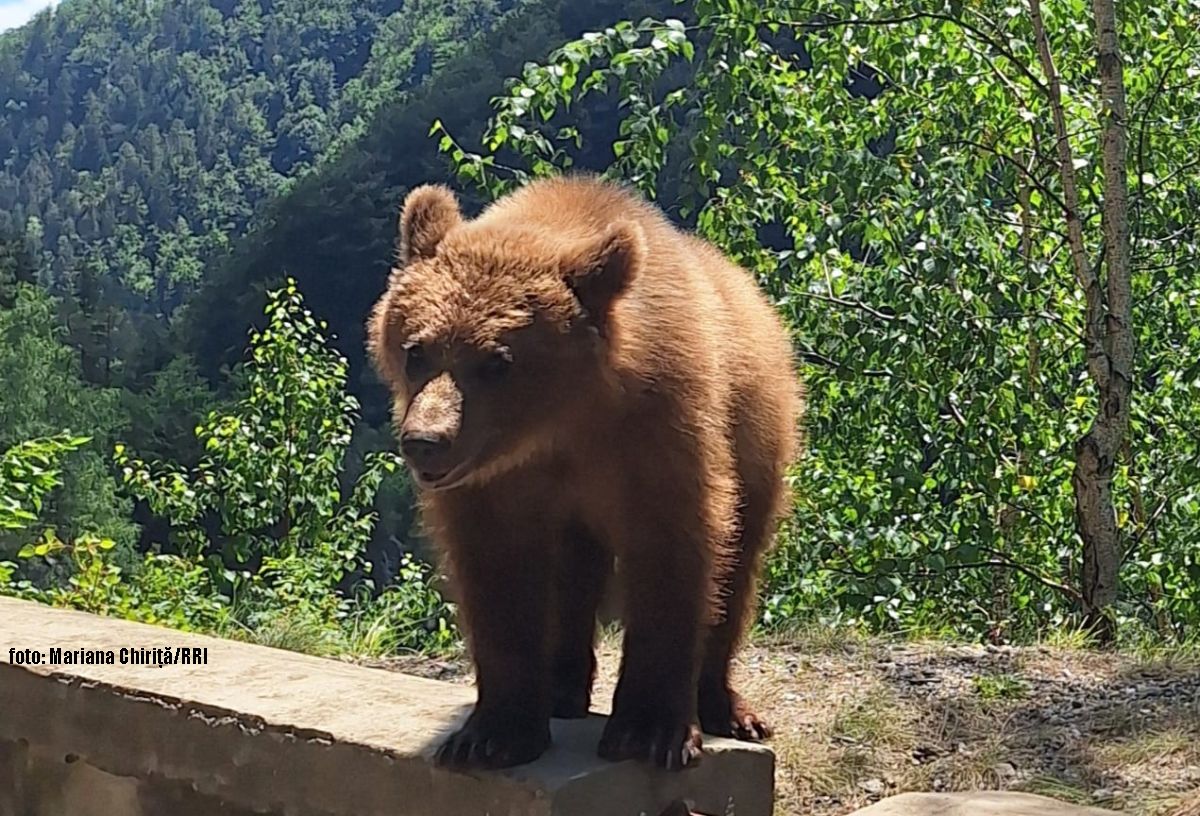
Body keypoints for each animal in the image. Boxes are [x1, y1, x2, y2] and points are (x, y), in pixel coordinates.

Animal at [369, 176, 801, 772]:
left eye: (497, 361)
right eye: (416, 350)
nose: (425, 442)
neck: (561, 424)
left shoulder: (655, 437)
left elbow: (672, 556)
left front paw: (649, 732)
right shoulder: (499, 483)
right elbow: (499, 575)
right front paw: (493, 734)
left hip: (758, 433)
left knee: (737, 567)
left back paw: (727, 708)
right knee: (574, 576)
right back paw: (561, 689)